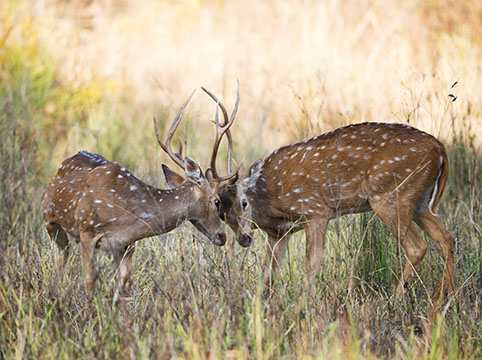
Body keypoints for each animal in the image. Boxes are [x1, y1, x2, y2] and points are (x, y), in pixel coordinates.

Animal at [41, 90, 232, 298]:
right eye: (217, 201)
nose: (222, 236)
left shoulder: (127, 244)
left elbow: (124, 284)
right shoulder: (87, 231)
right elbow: (89, 281)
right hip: (50, 219)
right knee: (62, 255)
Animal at [180, 86, 456, 300]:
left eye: (244, 202)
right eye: (221, 211)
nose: (244, 238)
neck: (273, 201)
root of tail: (440, 149)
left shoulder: (316, 210)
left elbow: (311, 263)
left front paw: (305, 305)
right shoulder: (278, 233)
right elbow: (269, 273)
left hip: (390, 195)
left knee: (417, 246)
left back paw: (397, 299)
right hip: (420, 200)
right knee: (445, 238)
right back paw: (446, 297)